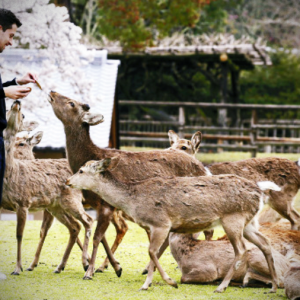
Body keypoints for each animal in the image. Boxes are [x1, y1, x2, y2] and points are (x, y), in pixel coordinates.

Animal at [1, 102, 93, 276]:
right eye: (6, 109)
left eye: (23, 115)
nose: (16, 102)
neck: (11, 172)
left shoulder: (23, 202)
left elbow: (19, 234)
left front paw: (18, 268)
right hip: (56, 206)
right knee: (75, 226)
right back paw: (60, 266)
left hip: (72, 199)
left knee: (89, 221)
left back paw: (87, 265)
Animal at [48, 91, 210, 278]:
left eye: (71, 103)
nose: (52, 92)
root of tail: (204, 168)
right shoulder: (98, 205)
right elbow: (102, 237)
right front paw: (115, 267)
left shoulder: (106, 204)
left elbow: (97, 237)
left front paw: (89, 270)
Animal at [65, 157, 282, 292]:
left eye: (81, 170)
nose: (67, 181)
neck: (133, 202)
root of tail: (260, 190)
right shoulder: (156, 227)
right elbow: (153, 253)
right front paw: (146, 285)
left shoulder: (161, 223)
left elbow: (152, 252)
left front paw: (170, 282)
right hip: (249, 222)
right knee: (264, 243)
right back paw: (274, 286)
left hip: (233, 219)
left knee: (241, 250)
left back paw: (222, 286)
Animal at [169, 129, 300, 232]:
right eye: (171, 145)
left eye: (184, 147)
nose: (170, 151)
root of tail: (296, 165)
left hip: (281, 196)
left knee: (295, 219)